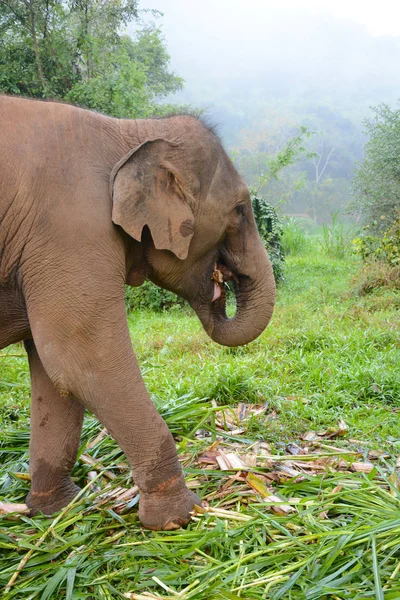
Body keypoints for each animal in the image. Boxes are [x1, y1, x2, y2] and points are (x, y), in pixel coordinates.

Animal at [0, 95, 276, 528]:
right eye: (240, 210)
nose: (220, 285)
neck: (130, 130)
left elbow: (54, 373)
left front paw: (59, 511)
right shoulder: (72, 230)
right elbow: (81, 361)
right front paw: (180, 517)